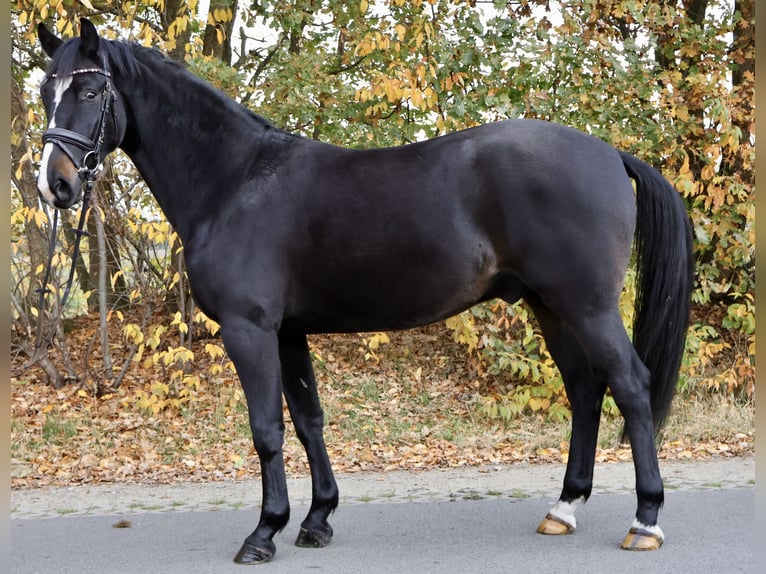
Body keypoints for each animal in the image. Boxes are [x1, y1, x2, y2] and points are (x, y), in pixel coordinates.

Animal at [36, 19, 693, 564]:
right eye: (46, 92)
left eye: (89, 93)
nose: (56, 186)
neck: (235, 181)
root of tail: (609, 153)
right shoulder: (288, 332)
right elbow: (308, 421)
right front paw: (316, 519)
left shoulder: (250, 329)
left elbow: (266, 428)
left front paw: (264, 531)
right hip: (550, 306)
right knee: (584, 389)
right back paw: (563, 508)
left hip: (588, 306)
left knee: (630, 386)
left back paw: (645, 519)